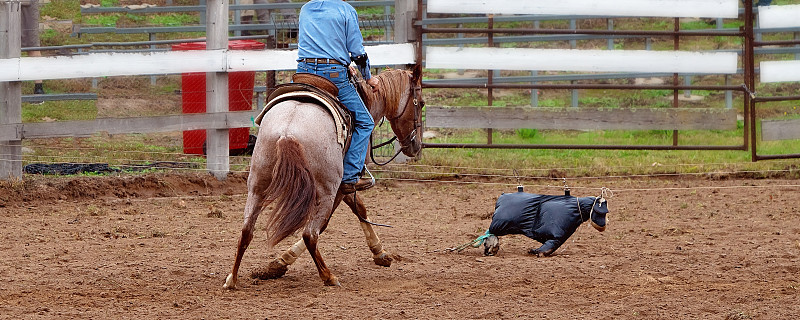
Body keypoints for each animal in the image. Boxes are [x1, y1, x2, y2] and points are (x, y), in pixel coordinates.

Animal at [223, 67, 424, 288]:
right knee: (310, 234)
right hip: (325, 191)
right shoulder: (342, 184)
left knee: (246, 231)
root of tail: (287, 131)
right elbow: (338, 218)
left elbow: (359, 208)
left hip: (257, 186)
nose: (416, 146)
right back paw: (328, 276)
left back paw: (232, 279)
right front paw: (279, 262)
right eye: (421, 103)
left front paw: (380, 253)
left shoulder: (343, 185)